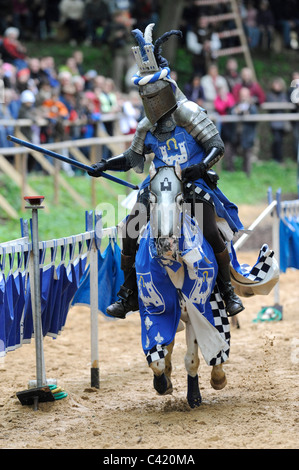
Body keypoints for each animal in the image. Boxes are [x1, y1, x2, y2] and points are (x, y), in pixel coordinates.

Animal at [135, 164, 231, 408]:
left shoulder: (197, 310)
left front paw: (195, 395)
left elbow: (193, 359)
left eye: (180, 199)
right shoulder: (156, 311)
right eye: (151, 198)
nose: (166, 243)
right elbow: (157, 358)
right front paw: (162, 384)